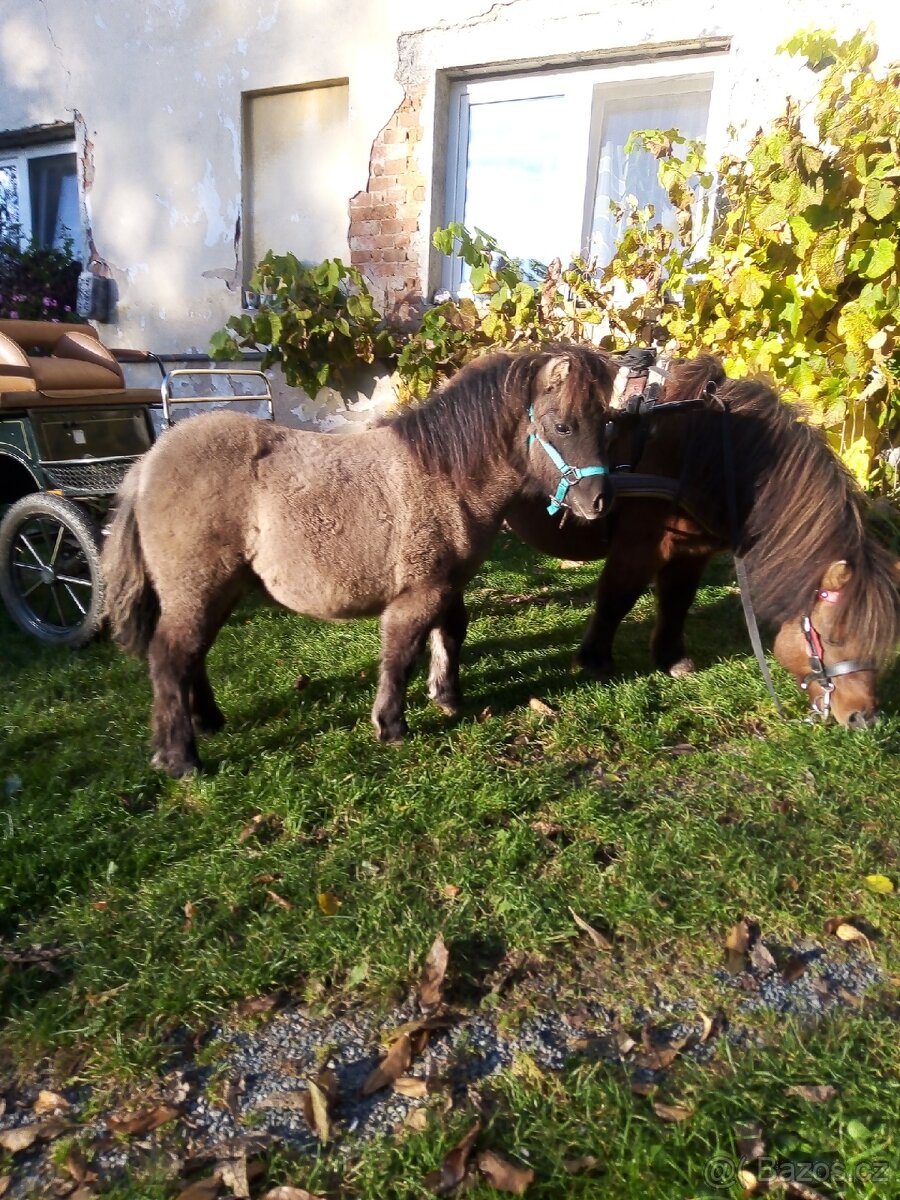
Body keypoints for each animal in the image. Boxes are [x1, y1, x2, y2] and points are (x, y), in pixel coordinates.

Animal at [102, 344, 617, 776]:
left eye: (606, 423)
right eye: (564, 425)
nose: (600, 502)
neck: (444, 476)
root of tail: (148, 463)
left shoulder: (448, 584)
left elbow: (450, 634)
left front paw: (447, 697)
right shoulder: (419, 593)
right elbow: (400, 653)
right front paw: (391, 725)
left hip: (218, 589)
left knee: (194, 655)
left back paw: (208, 722)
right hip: (197, 588)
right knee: (171, 657)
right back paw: (179, 758)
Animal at [505, 355, 900, 729]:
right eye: (832, 638)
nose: (865, 717)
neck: (697, 444)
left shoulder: (692, 552)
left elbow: (677, 601)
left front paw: (671, 657)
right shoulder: (638, 545)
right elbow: (616, 599)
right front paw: (594, 659)